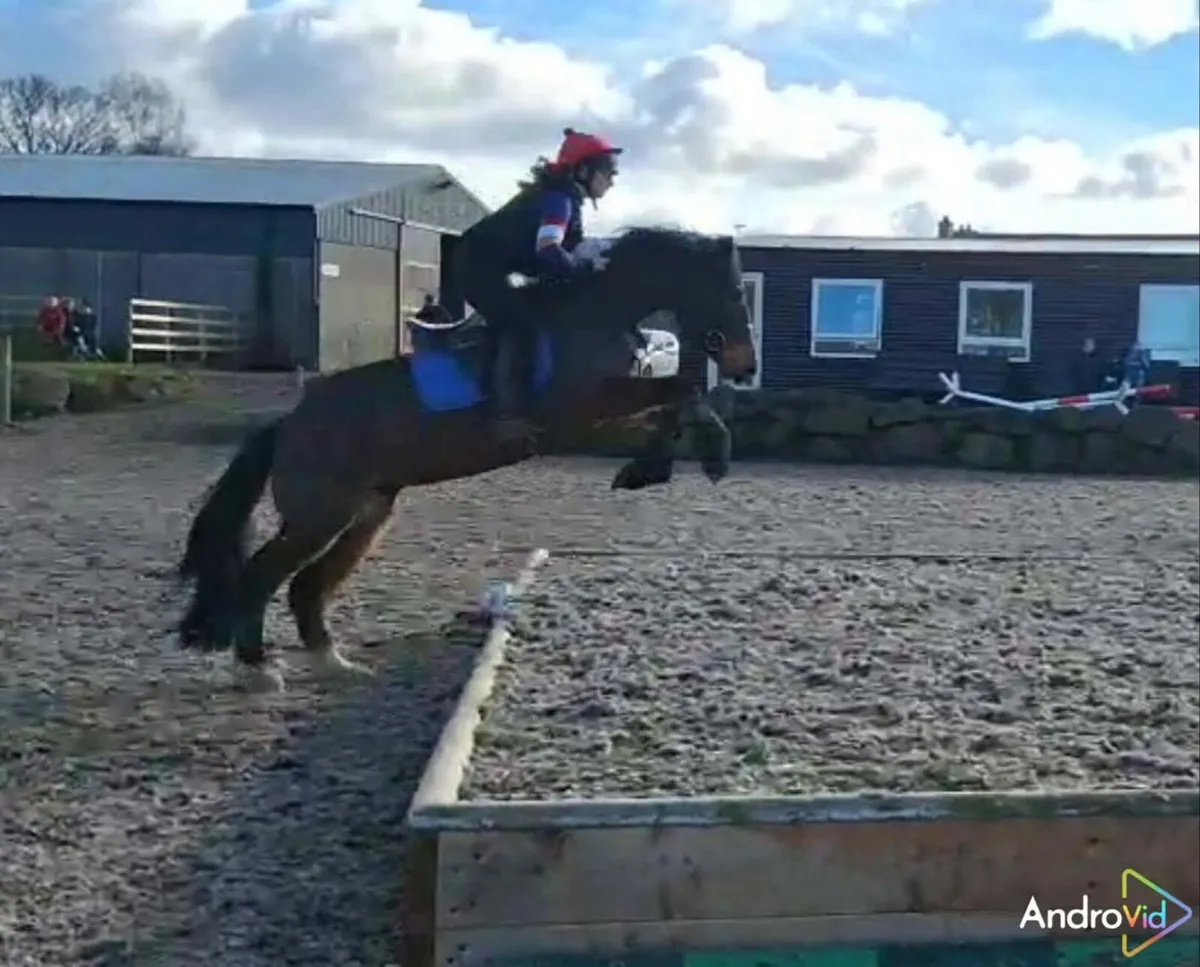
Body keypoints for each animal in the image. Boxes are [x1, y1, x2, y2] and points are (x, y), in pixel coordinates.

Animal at [176, 226, 757, 688]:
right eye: (733, 290)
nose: (745, 366)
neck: (595, 313)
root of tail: (290, 424)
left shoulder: (600, 414)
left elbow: (676, 402)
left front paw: (672, 464)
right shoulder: (581, 409)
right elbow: (679, 388)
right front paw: (675, 463)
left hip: (366, 513)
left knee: (305, 586)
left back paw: (333, 663)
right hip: (320, 516)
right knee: (262, 576)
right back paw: (259, 668)